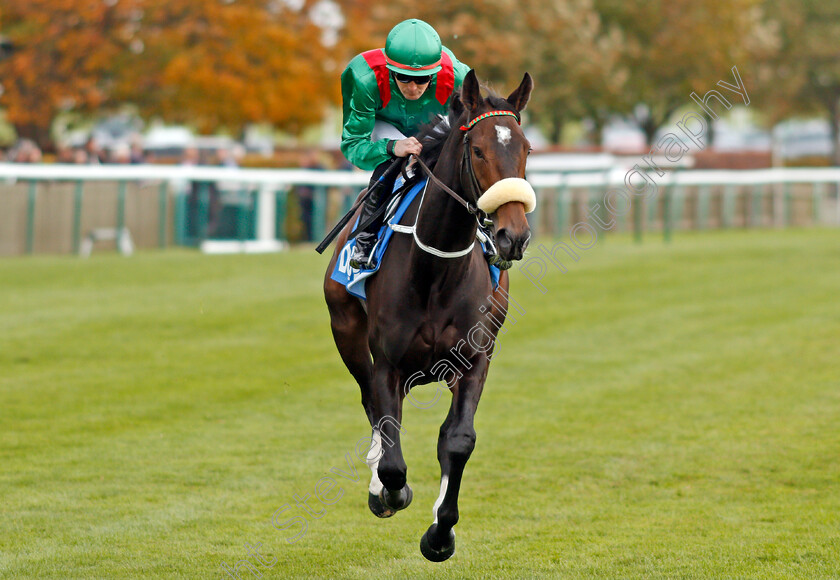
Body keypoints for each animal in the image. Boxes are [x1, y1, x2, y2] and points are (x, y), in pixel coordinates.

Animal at [324, 69, 536, 560]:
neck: (438, 269)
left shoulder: (475, 359)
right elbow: (392, 453)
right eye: (478, 150)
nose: (513, 236)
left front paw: (441, 533)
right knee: (372, 406)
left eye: (526, 149)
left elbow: (457, 440)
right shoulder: (387, 362)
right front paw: (388, 491)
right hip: (347, 333)